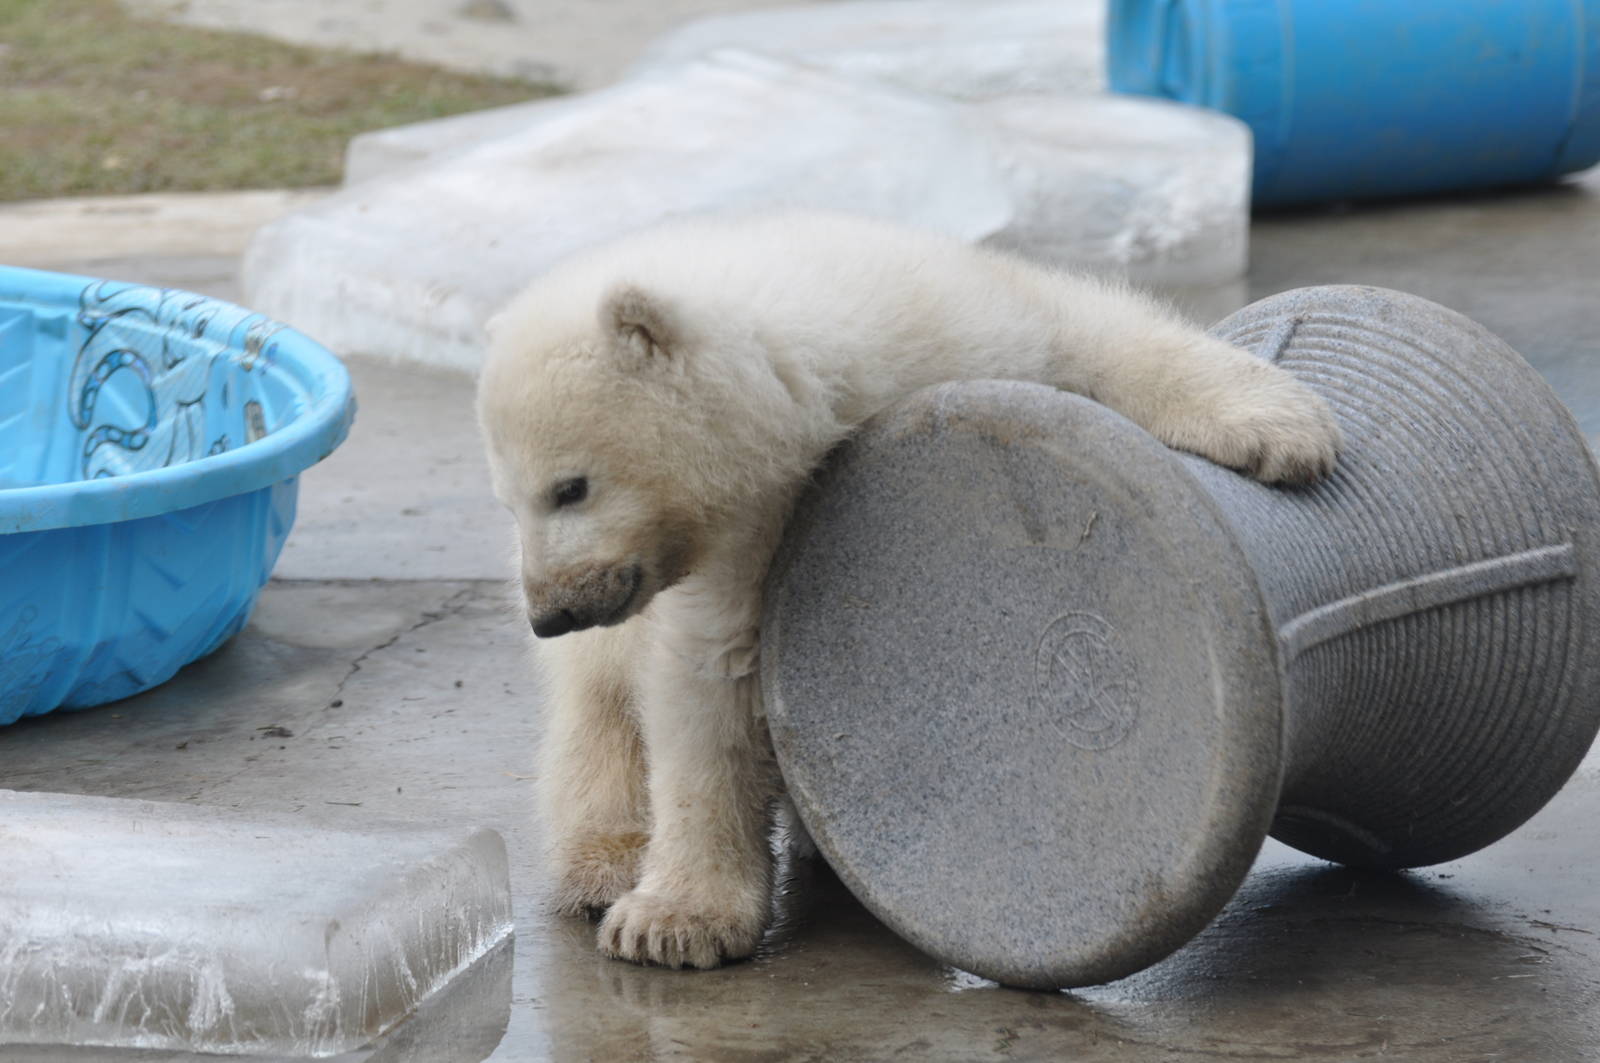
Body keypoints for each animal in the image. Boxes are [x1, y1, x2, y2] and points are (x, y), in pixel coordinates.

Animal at [476, 210, 1340, 971]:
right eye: (512, 500)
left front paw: (1286, 428)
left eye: (570, 487)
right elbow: (714, 682)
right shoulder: (751, 536)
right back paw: (607, 862)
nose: (552, 610)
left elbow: (1085, 337)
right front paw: (672, 922)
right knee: (600, 714)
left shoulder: (957, 328)